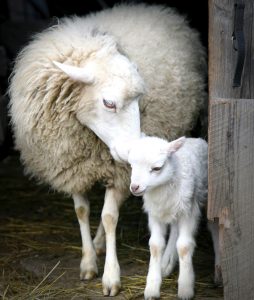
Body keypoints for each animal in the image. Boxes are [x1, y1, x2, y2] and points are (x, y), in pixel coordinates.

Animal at [127, 135, 208, 298]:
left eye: (157, 168)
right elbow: (155, 245)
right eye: (131, 165)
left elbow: (184, 246)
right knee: (174, 231)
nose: (135, 187)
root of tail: (195, 138)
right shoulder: (155, 213)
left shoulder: (188, 210)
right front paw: (151, 288)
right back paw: (166, 264)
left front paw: (185, 288)